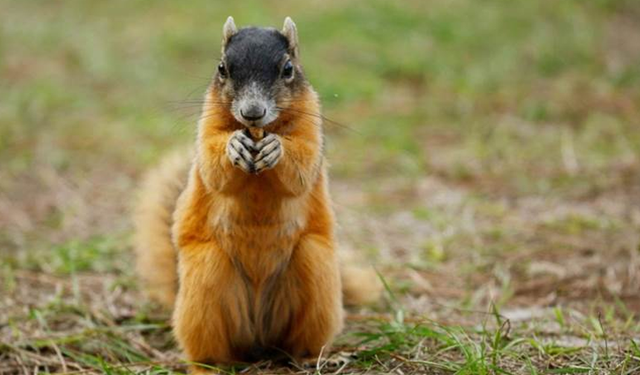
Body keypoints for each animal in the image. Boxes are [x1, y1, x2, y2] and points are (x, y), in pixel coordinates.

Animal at [131, 16, 380, 370]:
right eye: (222, 67)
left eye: (288, 68)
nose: (252, 112)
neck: (260, 130)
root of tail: (258, 339)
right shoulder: (208, 122)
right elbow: (212, 166)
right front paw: (232, 145)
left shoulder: (310, 125)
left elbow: (302, 164)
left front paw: (278, 149)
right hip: (204, 287)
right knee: (210, 347)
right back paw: (209, 367)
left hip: (316, 276)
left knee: (299, 339)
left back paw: (309, 358)